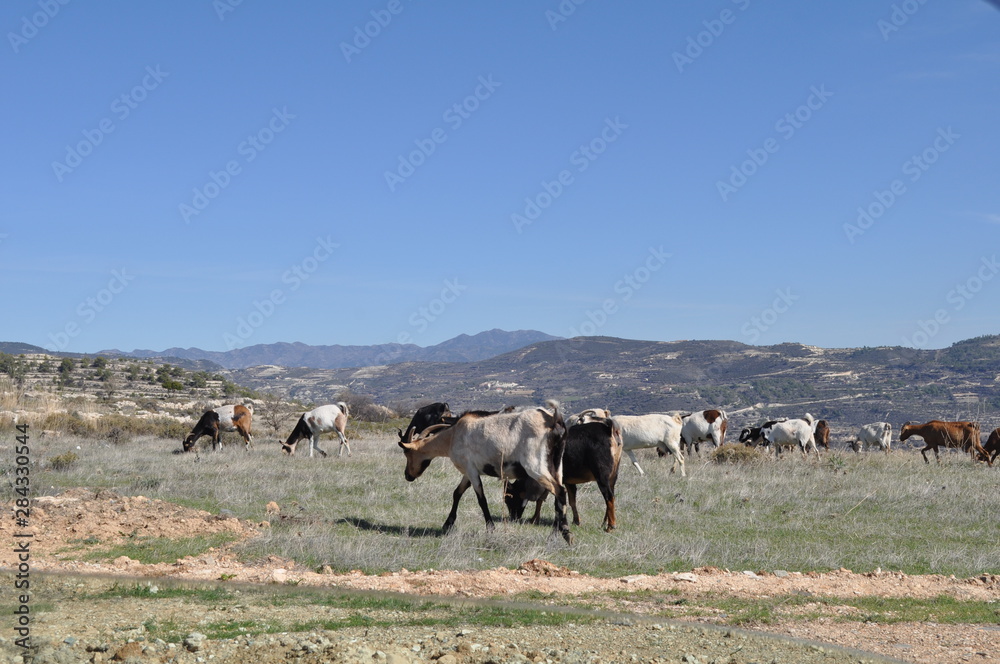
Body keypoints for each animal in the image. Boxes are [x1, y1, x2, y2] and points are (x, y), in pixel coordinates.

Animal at [397, 400, 572, 543]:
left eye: (407, 453)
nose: (408, 475)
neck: (453, 436)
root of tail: (554, 421)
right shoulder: (468, 472)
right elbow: (457, 493)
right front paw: (447, 524)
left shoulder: (471, 470)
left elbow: (481, 498)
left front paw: (490, 527)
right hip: (556, 465)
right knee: (558, 494)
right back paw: (555, 533)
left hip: (534, 465)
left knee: (559, 490)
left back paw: (566, 534)